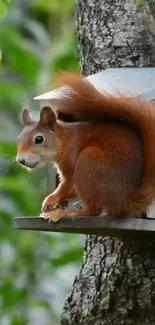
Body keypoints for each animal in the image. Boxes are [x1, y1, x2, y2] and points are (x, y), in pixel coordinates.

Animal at [16, 72, 155, 221]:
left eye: (39, 139)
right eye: (19, 139)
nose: (20, 160)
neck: (64, 139)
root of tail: (125, 202)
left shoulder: (71, 156)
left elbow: (68, 185)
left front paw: (50, 200)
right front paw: (58, 203)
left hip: (88, 161)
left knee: (92, 211)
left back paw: (67, 213)